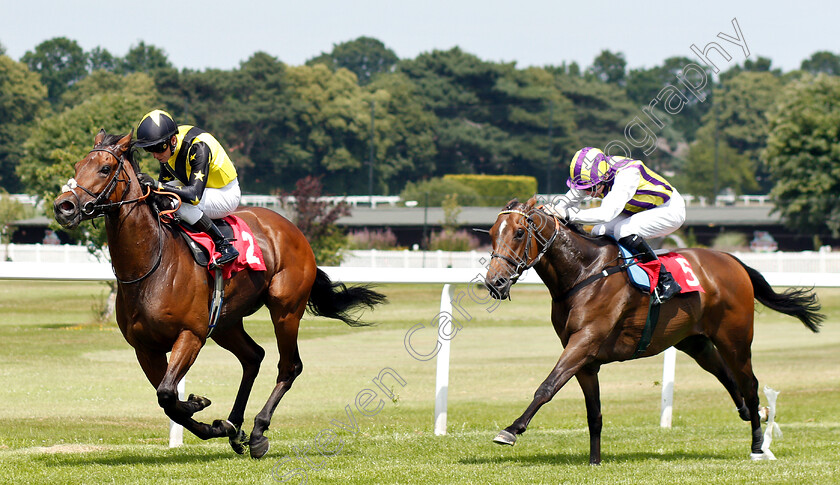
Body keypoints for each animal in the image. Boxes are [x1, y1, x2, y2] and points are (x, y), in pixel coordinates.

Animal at [54, 130, 388, 458]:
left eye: (105, 168)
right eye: (77, 166)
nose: (63, 207)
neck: (151, 265)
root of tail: (292, 229)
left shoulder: (191, 335)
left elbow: (168, 394)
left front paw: (200, 405)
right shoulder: (145, 348)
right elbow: (169, 402)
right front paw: (211, 419)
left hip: (286, 309)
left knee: (289, 366)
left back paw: (258, 432)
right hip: (226, 322)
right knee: (253, 357)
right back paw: (235, 426)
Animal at [486, 198, 820, 466]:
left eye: (519, 232)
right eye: (491, 234)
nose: (495, 283)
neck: (584, 272)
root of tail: (731, 259)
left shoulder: (584, 342)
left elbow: (547, 387)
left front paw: (511, 430)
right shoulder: (584, 358)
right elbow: (594, 413)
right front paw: (594, 461)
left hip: (735, 339)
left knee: (749, 384)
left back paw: (757, 445)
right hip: (694, 342)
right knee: (726, 376)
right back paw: (753, 414)